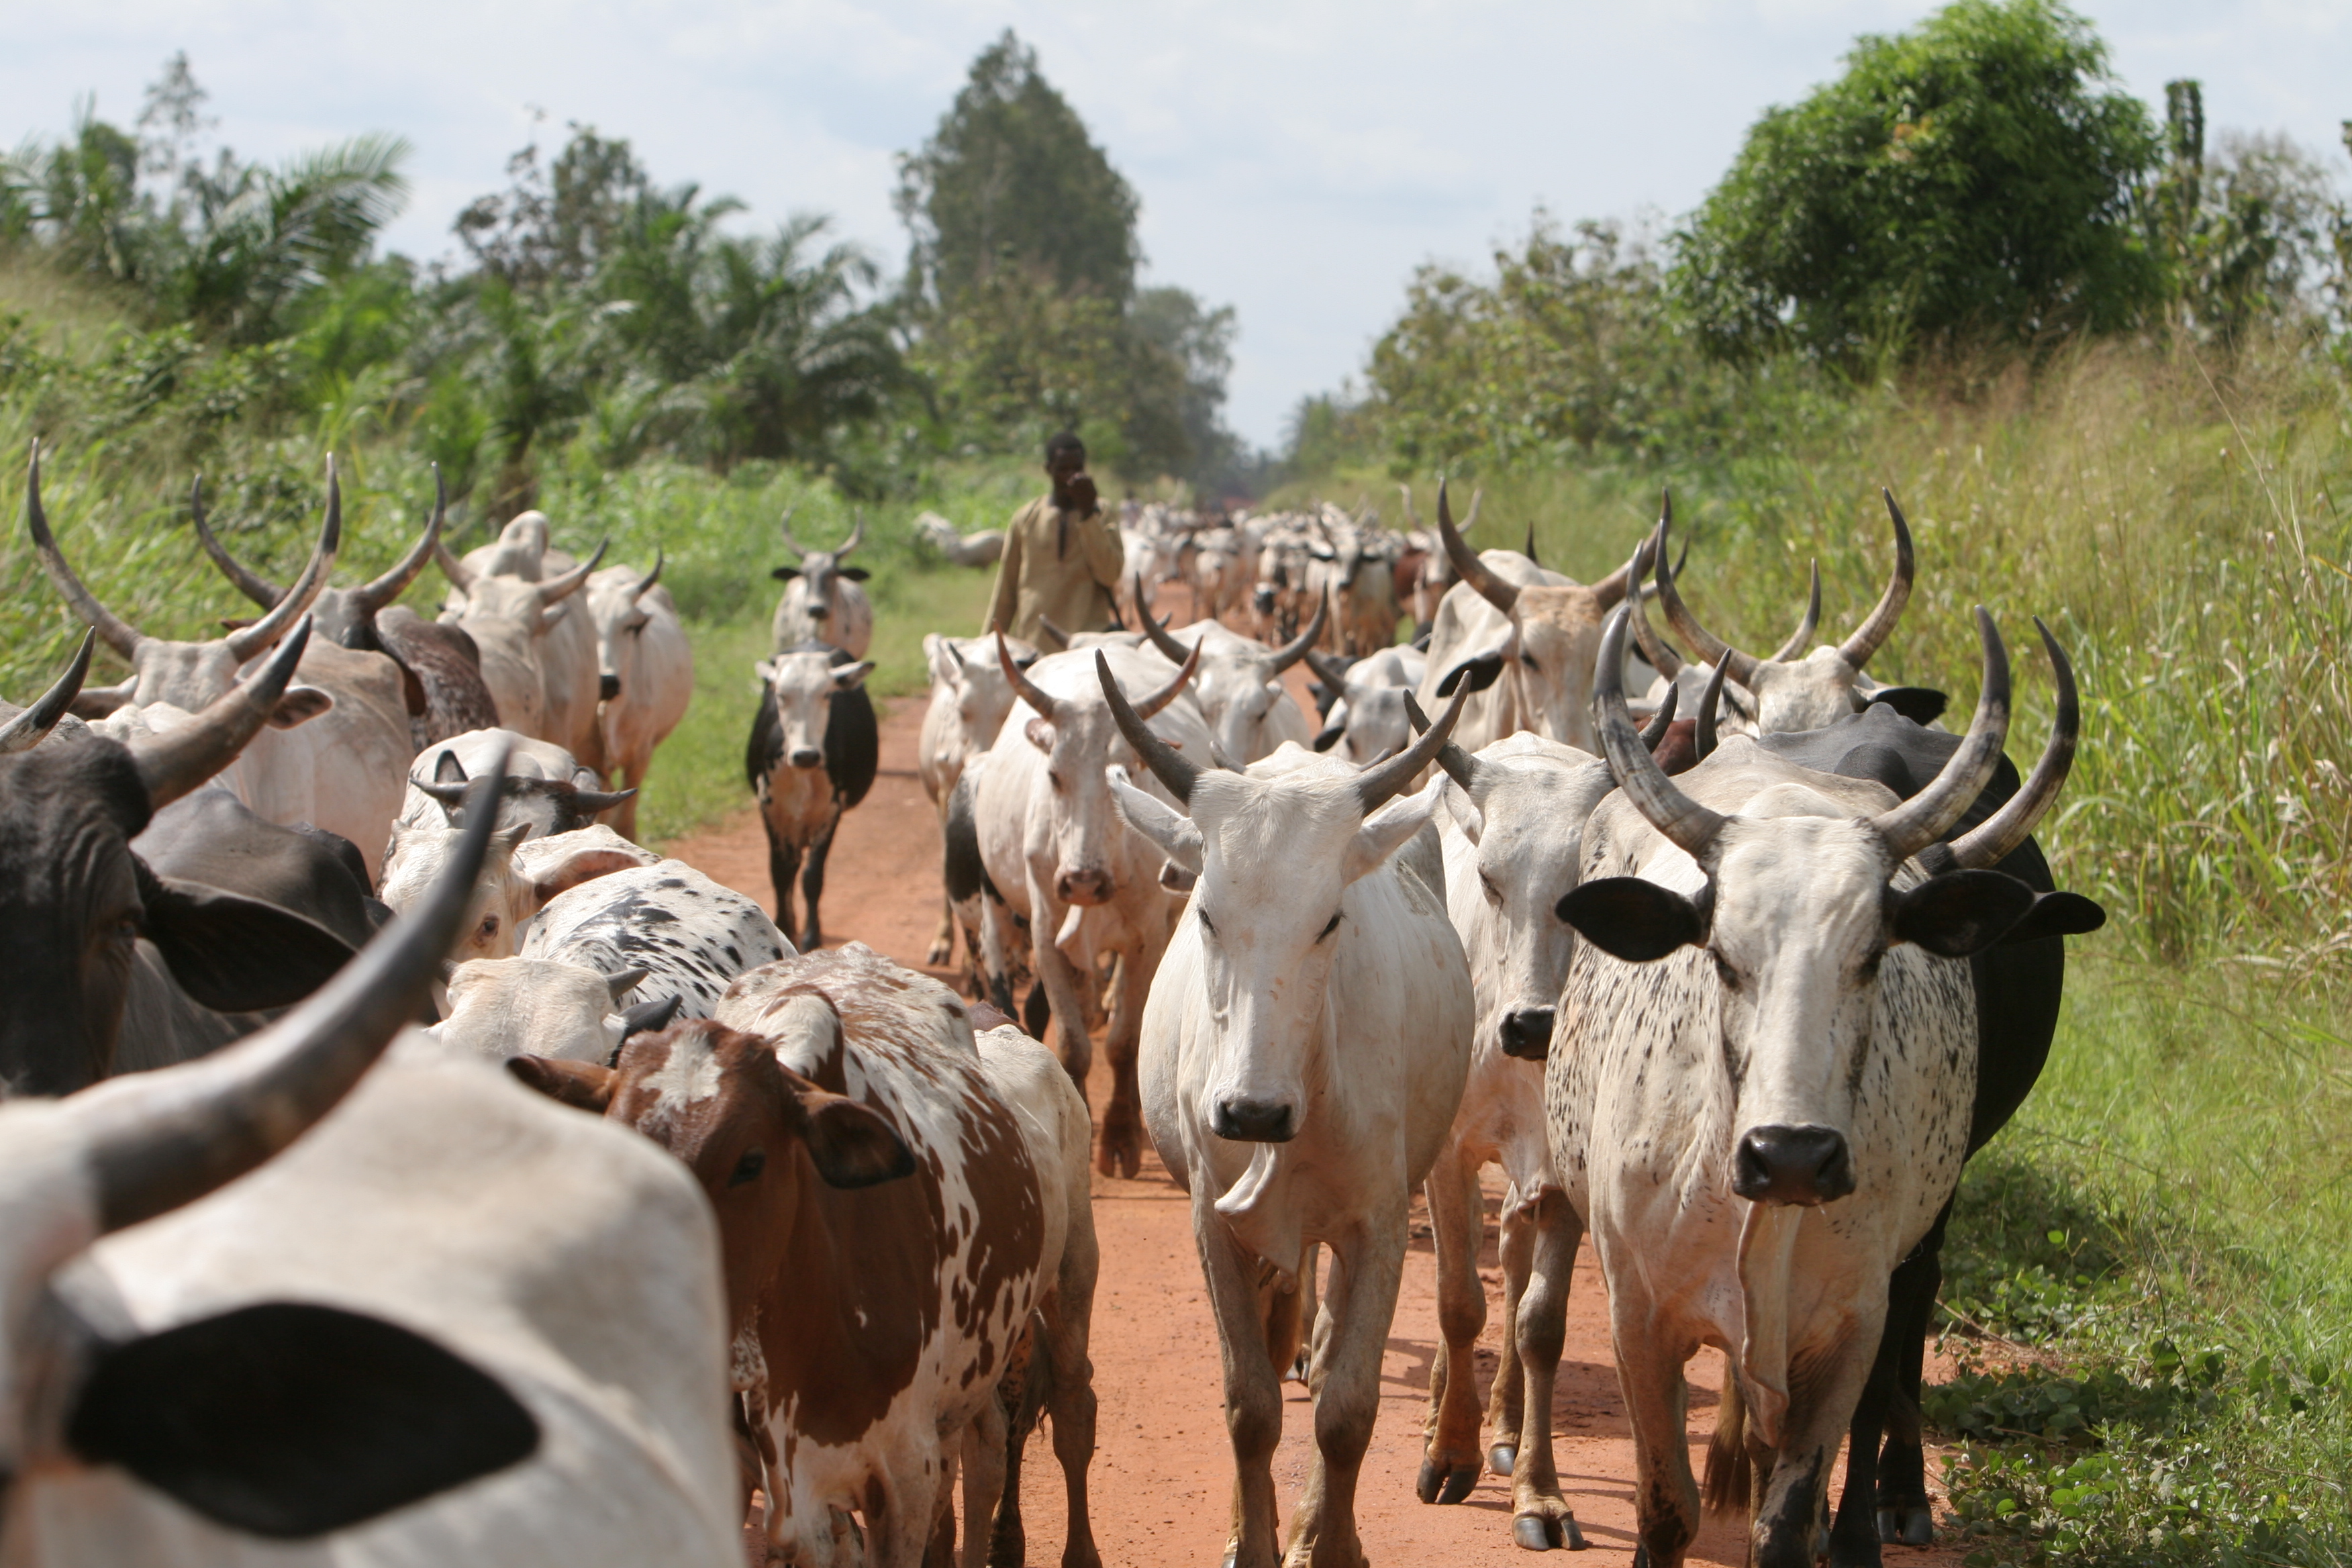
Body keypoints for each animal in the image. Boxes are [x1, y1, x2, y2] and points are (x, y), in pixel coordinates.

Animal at [747, 643, 878, 951]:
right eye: (781, 696)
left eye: (827, 694)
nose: (806, 755)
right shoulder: (770, 811)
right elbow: (780, 873)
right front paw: (784, 925)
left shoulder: (830, 814)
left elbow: (812, 877)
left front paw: (810, 936)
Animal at [971, 636, 1210, 1177]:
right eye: (1054, 776)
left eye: (1125, 775)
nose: (1083, 881)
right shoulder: (1044, 933)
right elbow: (1074, 1044)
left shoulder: (1146, 939)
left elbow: (1123, 1041)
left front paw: (1120, 1137)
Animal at [1099, 650, 1488, 1568]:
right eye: (1206, 912)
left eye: (1331, 919)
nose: (1251, 1113)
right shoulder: (1212, 1224)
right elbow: (1249, 1404)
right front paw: (1252, 1537)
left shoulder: (1379, 1225)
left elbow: (1348, 1408)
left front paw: (1330, 1540)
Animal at [1543, 604, 2082, 1568]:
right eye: (1722, 956)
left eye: (1872, 957)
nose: (1791, 1155)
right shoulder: (1639, 1317)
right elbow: (1664, 1507)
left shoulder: (1848, 1327)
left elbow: (1789, 1515)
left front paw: (1835, 1524)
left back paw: (1883, 1513)